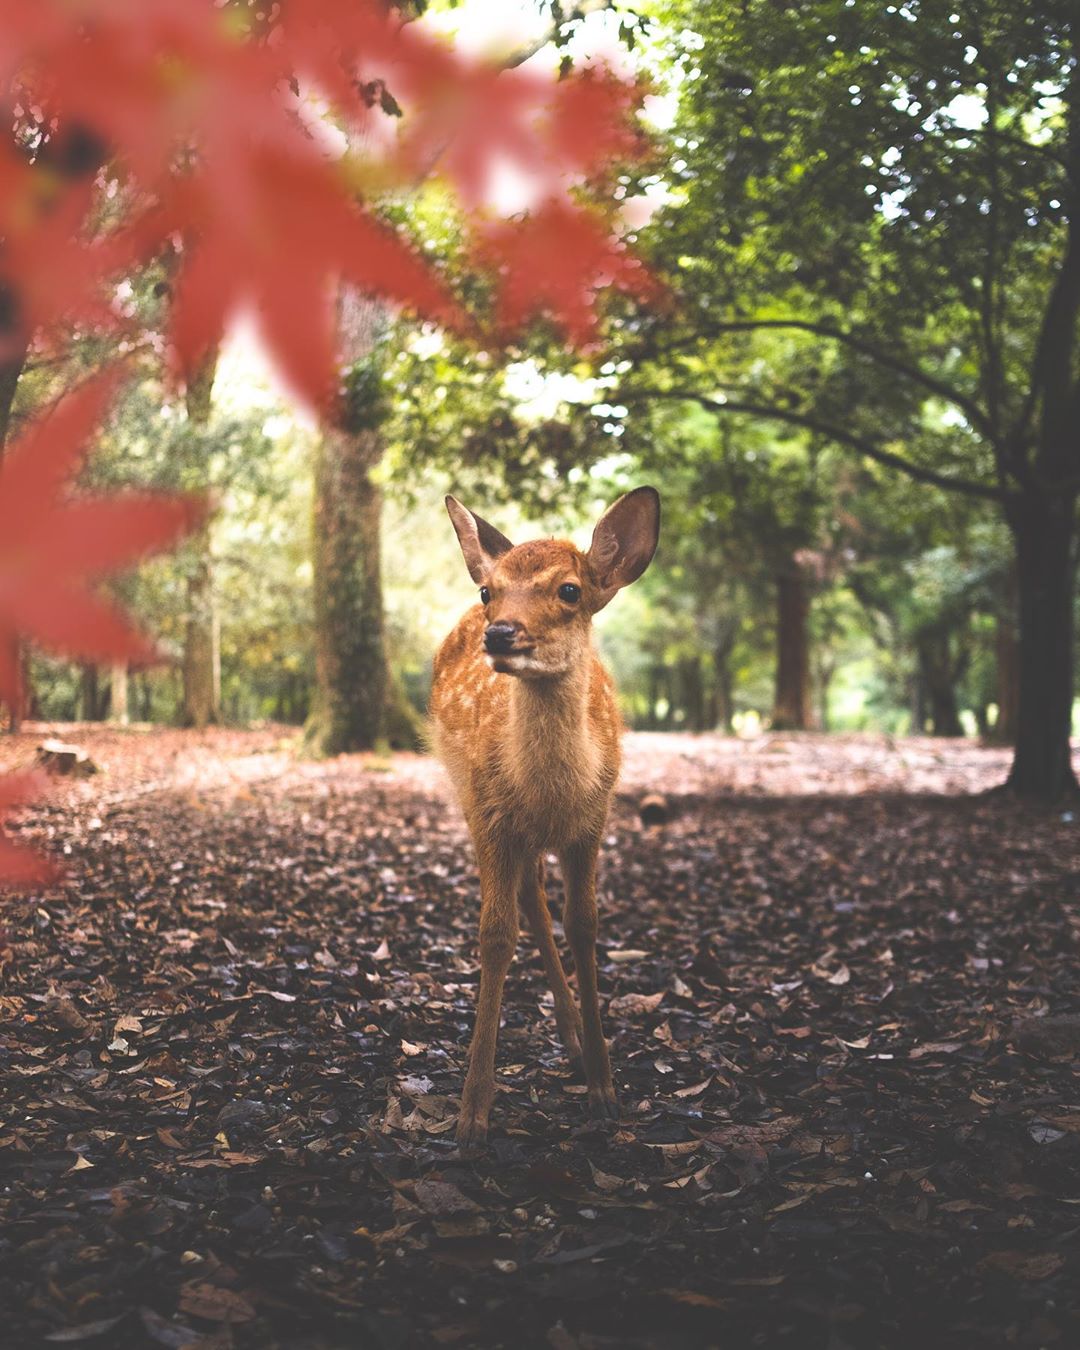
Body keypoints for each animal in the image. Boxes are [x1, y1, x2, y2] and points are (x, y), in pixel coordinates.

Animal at [429, 486, 658, 1139]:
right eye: (490, 591)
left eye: (570, 590)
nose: (501, 633)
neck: (552, 794)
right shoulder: (490, 815)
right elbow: (494, 935)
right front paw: (472, 1111)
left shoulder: (594, 821)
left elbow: (584, 925)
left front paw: (604, 1087)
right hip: (468, 800)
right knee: (528, 900)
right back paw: (568, 1034)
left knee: (537, 898)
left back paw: (576, 1040)